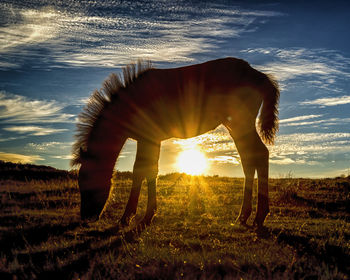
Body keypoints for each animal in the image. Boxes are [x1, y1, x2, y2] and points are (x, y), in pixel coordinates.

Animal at [71, 57, 278, 230]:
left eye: (87, 180)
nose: (87, 217)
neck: (131, 103)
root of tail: (258, 75)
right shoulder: (147, 139)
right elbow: (146, 171)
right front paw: (141, 215)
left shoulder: (150, 137)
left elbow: (143, 171)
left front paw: (134, 217)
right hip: (236, 127)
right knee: (249, 160)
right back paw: (244, 216)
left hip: (240, 123)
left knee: (259, 154)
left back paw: (259, 216)